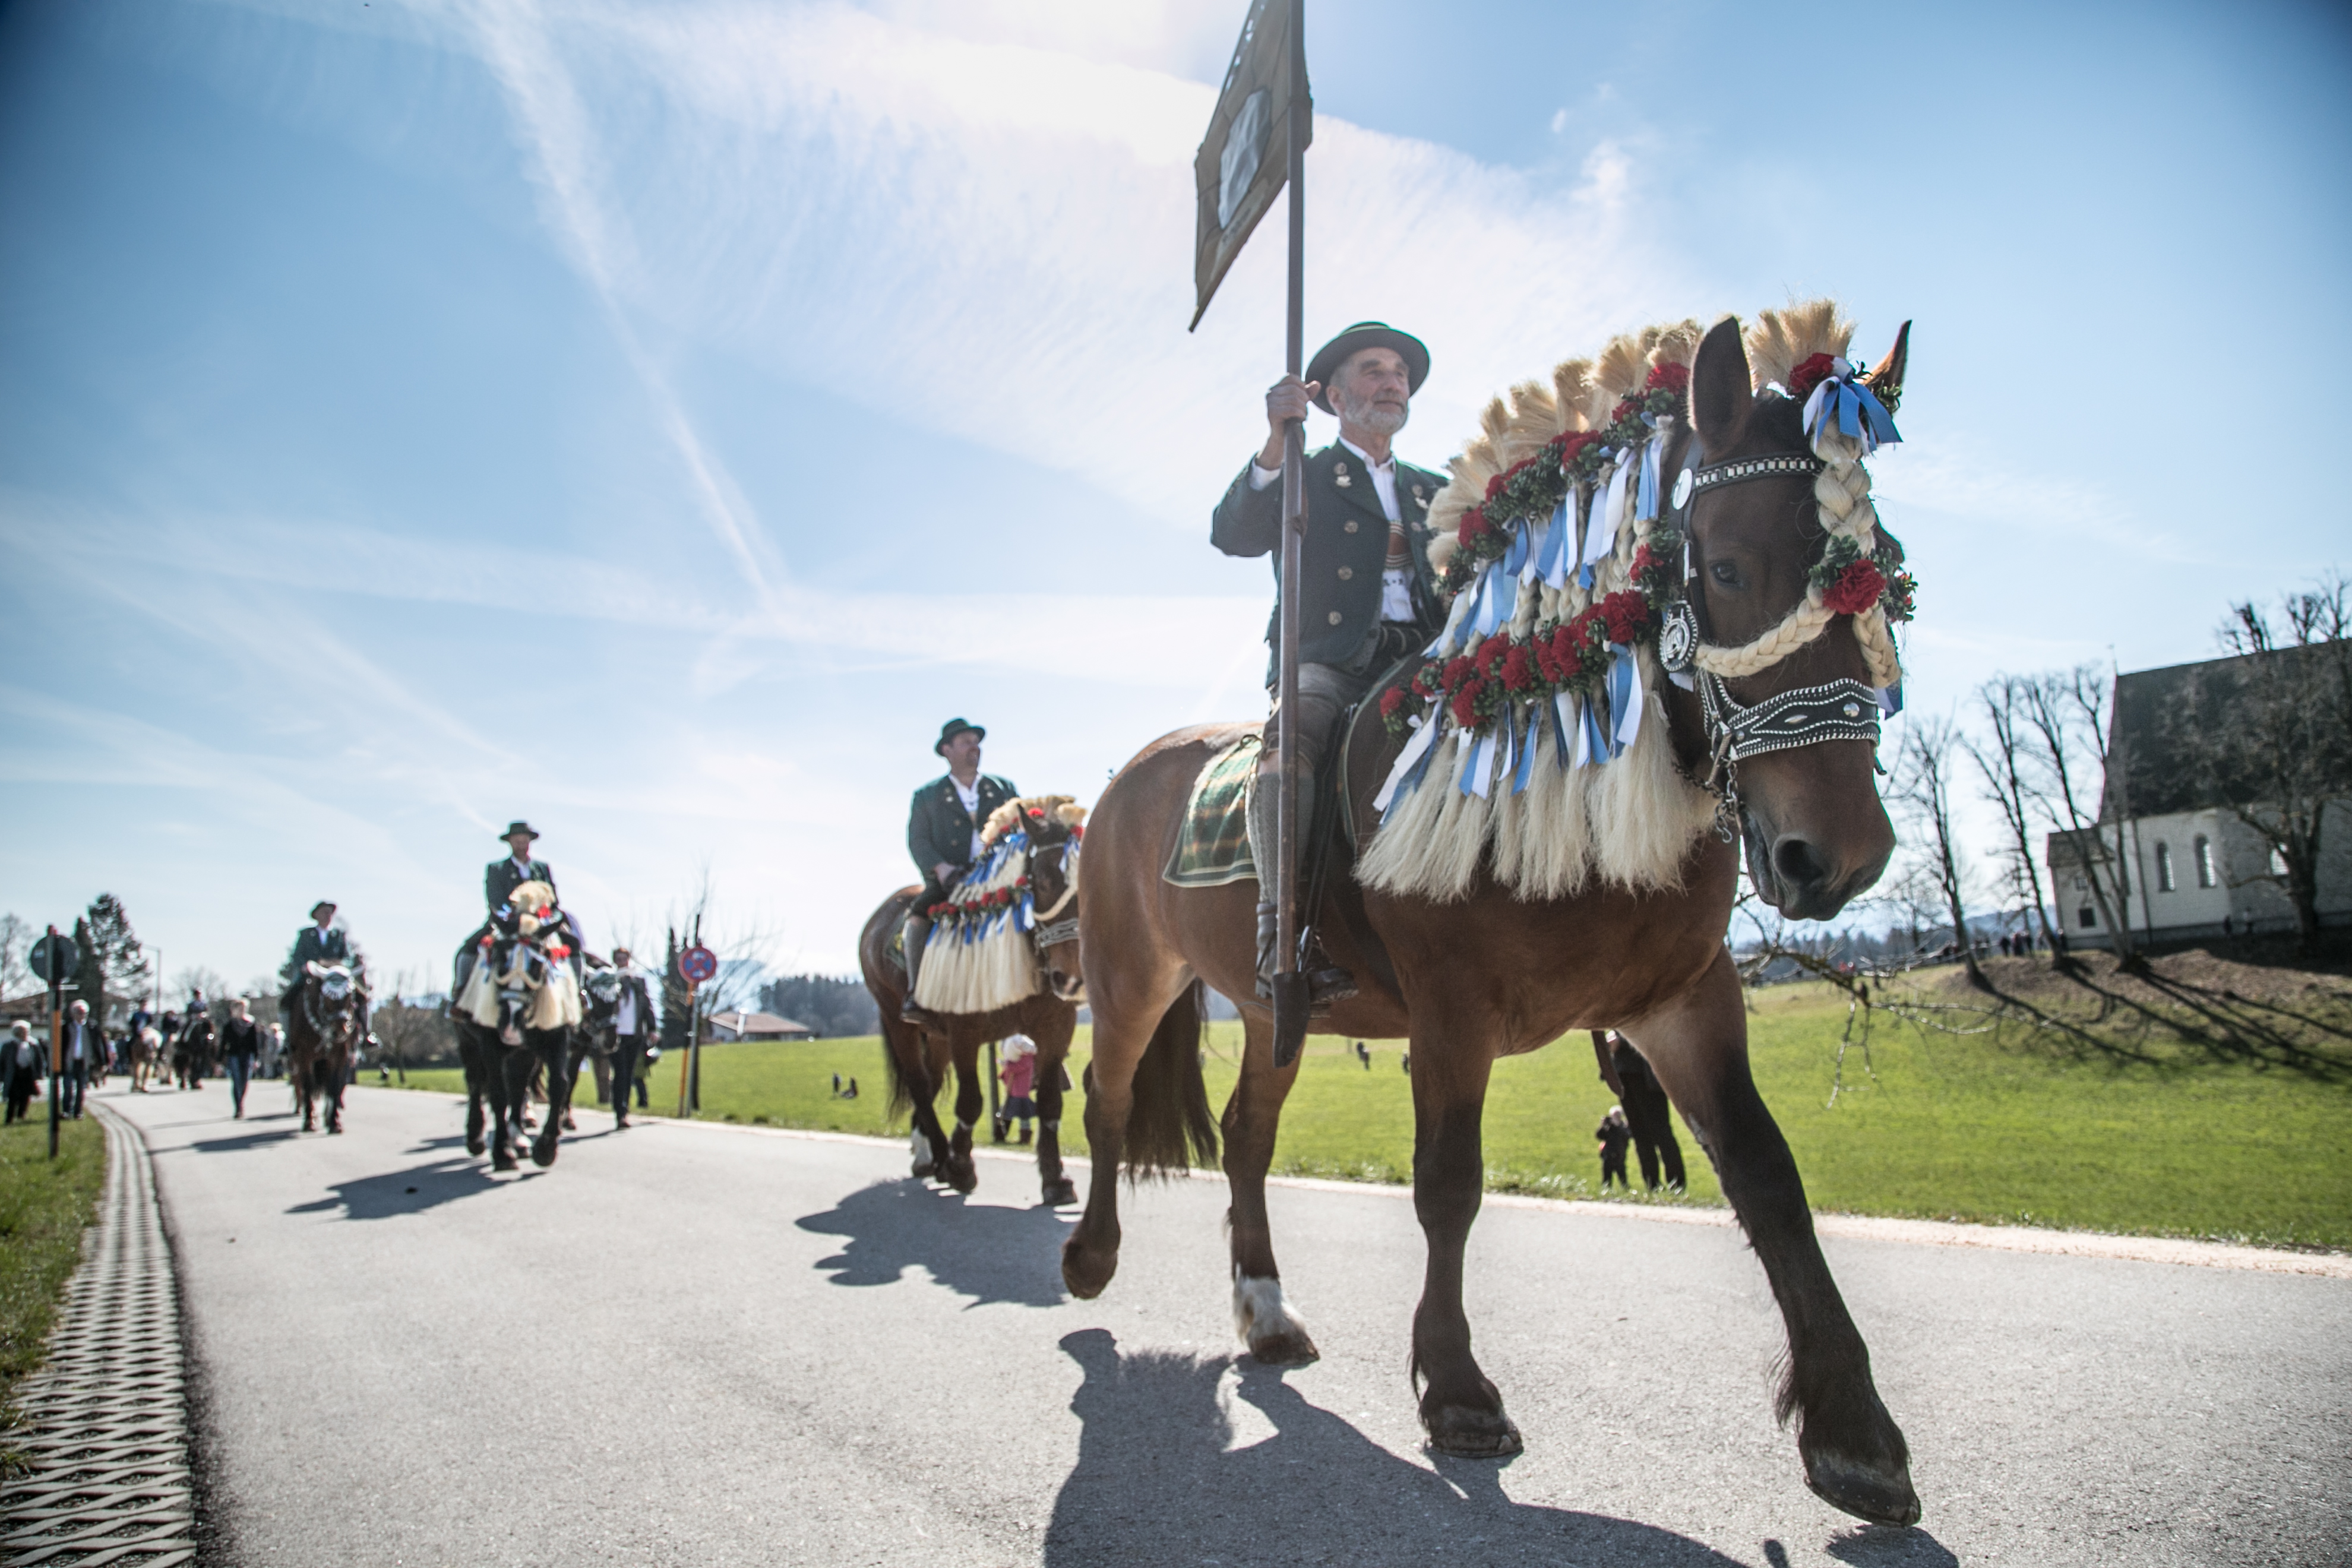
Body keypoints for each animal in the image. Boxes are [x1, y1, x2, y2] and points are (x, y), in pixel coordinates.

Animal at [284, 959, 366, 1128]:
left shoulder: (340, 1055)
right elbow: (308, 1084)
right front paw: (309, 1120)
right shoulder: (303, 1057)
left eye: (350, 996)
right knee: (301, 1084)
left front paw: (334, 1122)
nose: (339, 1031)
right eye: (327, 996)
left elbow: (334, 1084)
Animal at [861, 799, 1086, 1203]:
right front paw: (961, 1167)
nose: (1072, 978)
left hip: (936, 1039)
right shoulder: (965, 1033)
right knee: (920, 1086)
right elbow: (971, 1101)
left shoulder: (1056, 1029)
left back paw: (927, 1155)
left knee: (931, 1082)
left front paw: (1055, 1178)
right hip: (898, 1023)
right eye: (1043, 883)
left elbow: (1049, 1101)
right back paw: (937, 1155)